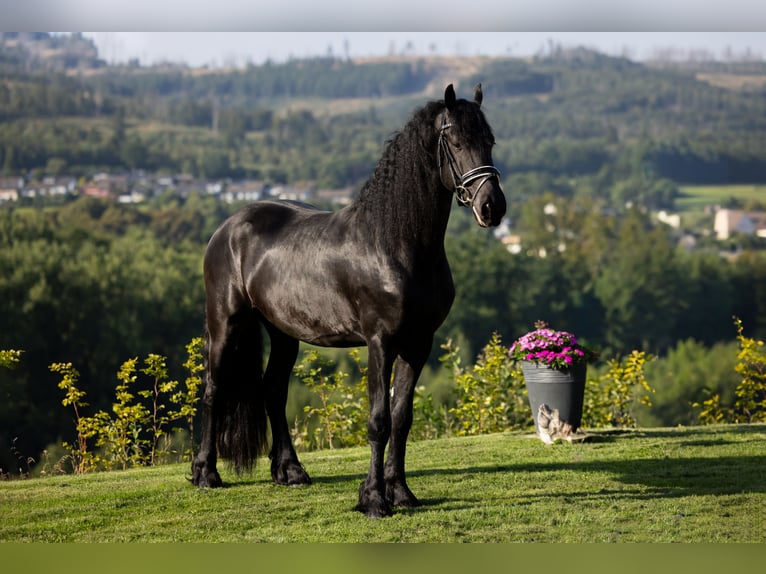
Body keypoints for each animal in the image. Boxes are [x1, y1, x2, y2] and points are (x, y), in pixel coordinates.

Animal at [191, 83, 506, 517]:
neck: (392, 243)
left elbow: (401, 418)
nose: (492, 207)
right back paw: (206, 473)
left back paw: (290, 471)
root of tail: (227, 227)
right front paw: (373, 499)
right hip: (225, 322)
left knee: (273, 389)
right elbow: (378, 421)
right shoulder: (380, 343)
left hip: (284, 332)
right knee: (213, 388)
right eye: (456, 142)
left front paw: (401, 493)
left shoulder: (418, 344)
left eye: (489, 141)